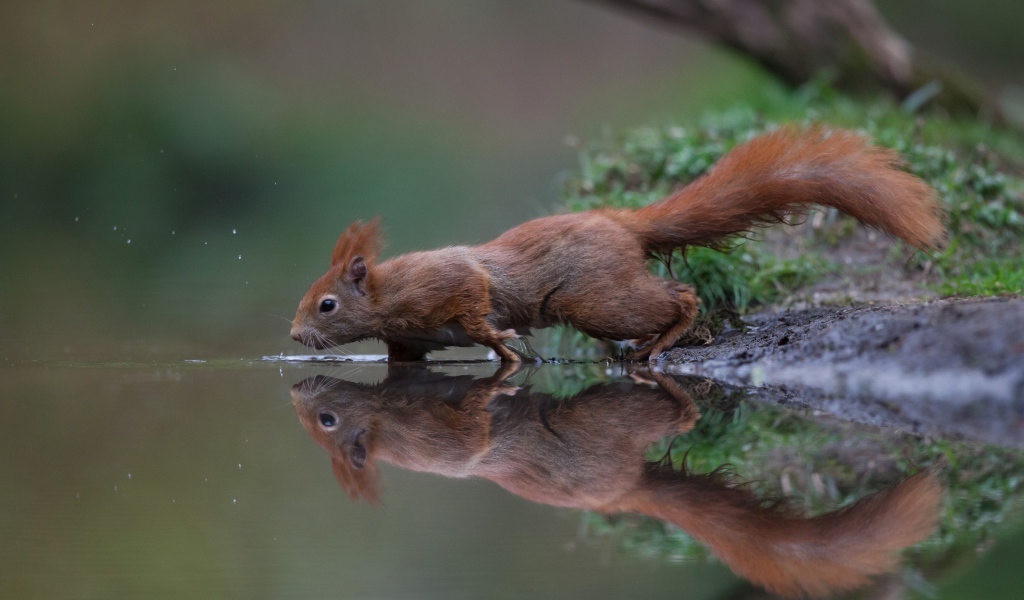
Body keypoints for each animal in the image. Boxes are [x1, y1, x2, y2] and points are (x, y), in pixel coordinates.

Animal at [290, 126, 944, 362]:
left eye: (327, 304)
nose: (295, 337)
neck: (388, 295)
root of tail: (622, 224)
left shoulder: (447, 284)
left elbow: (475, 306)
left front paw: (503, 344)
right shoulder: (408, 339)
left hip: (595, 299)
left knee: (679, 296)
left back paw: (664, 341)